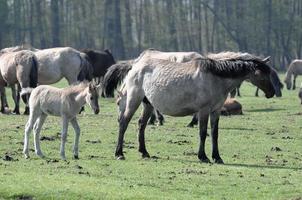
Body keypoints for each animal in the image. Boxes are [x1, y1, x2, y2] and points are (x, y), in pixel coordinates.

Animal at [104, 51, 276, 164]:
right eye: (262, 74)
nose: (272, 93)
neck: (216, 77)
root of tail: (135, 65)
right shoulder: (204, 111)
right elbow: (203, 133)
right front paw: (203, 157)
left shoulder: (215, 111)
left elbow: (215, 134)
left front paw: (217, 157)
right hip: (134, 99)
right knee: (124, 122)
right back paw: (119, 153)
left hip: (148, 104)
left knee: (141, 124)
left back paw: (144, 152)